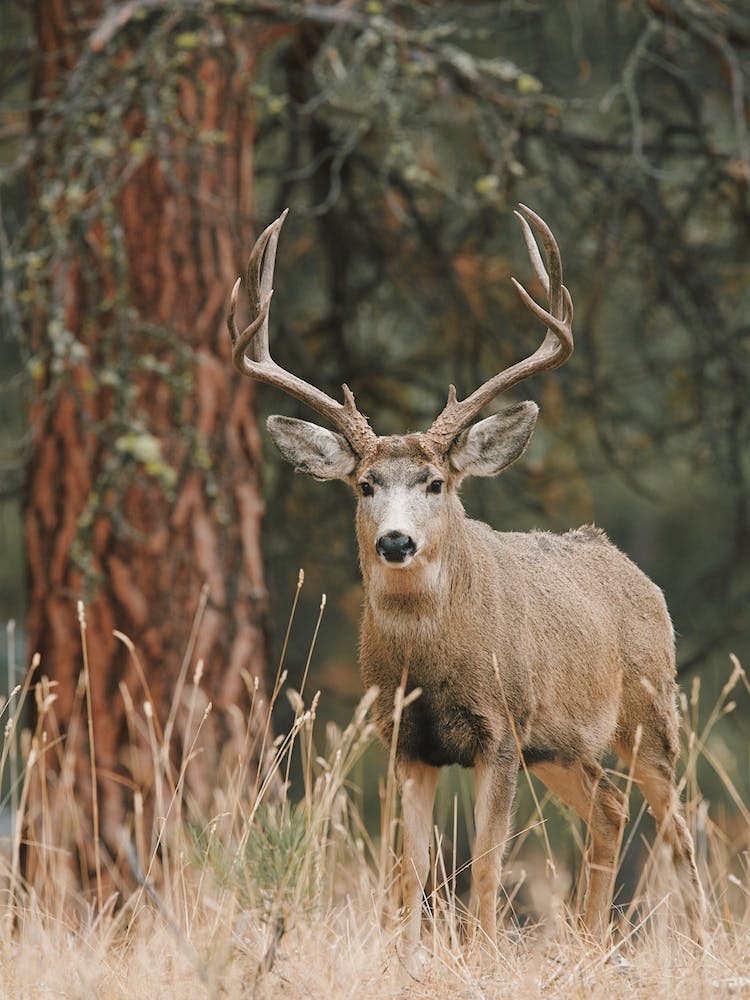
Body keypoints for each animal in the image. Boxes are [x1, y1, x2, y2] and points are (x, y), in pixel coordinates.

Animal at [226, 205, 705, 964]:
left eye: (435, 482)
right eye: (365, 484)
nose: (396, 541)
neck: (430, 664)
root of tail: (635, 572)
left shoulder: (500, 730)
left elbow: (484, 863)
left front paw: (481, 954)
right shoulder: (404, 739)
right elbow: (409, 869)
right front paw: (407, 955)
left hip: (650, 710)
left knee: (680, 823)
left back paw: (696, 933)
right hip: (562, 745)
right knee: (610, 805)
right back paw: (589, 942)